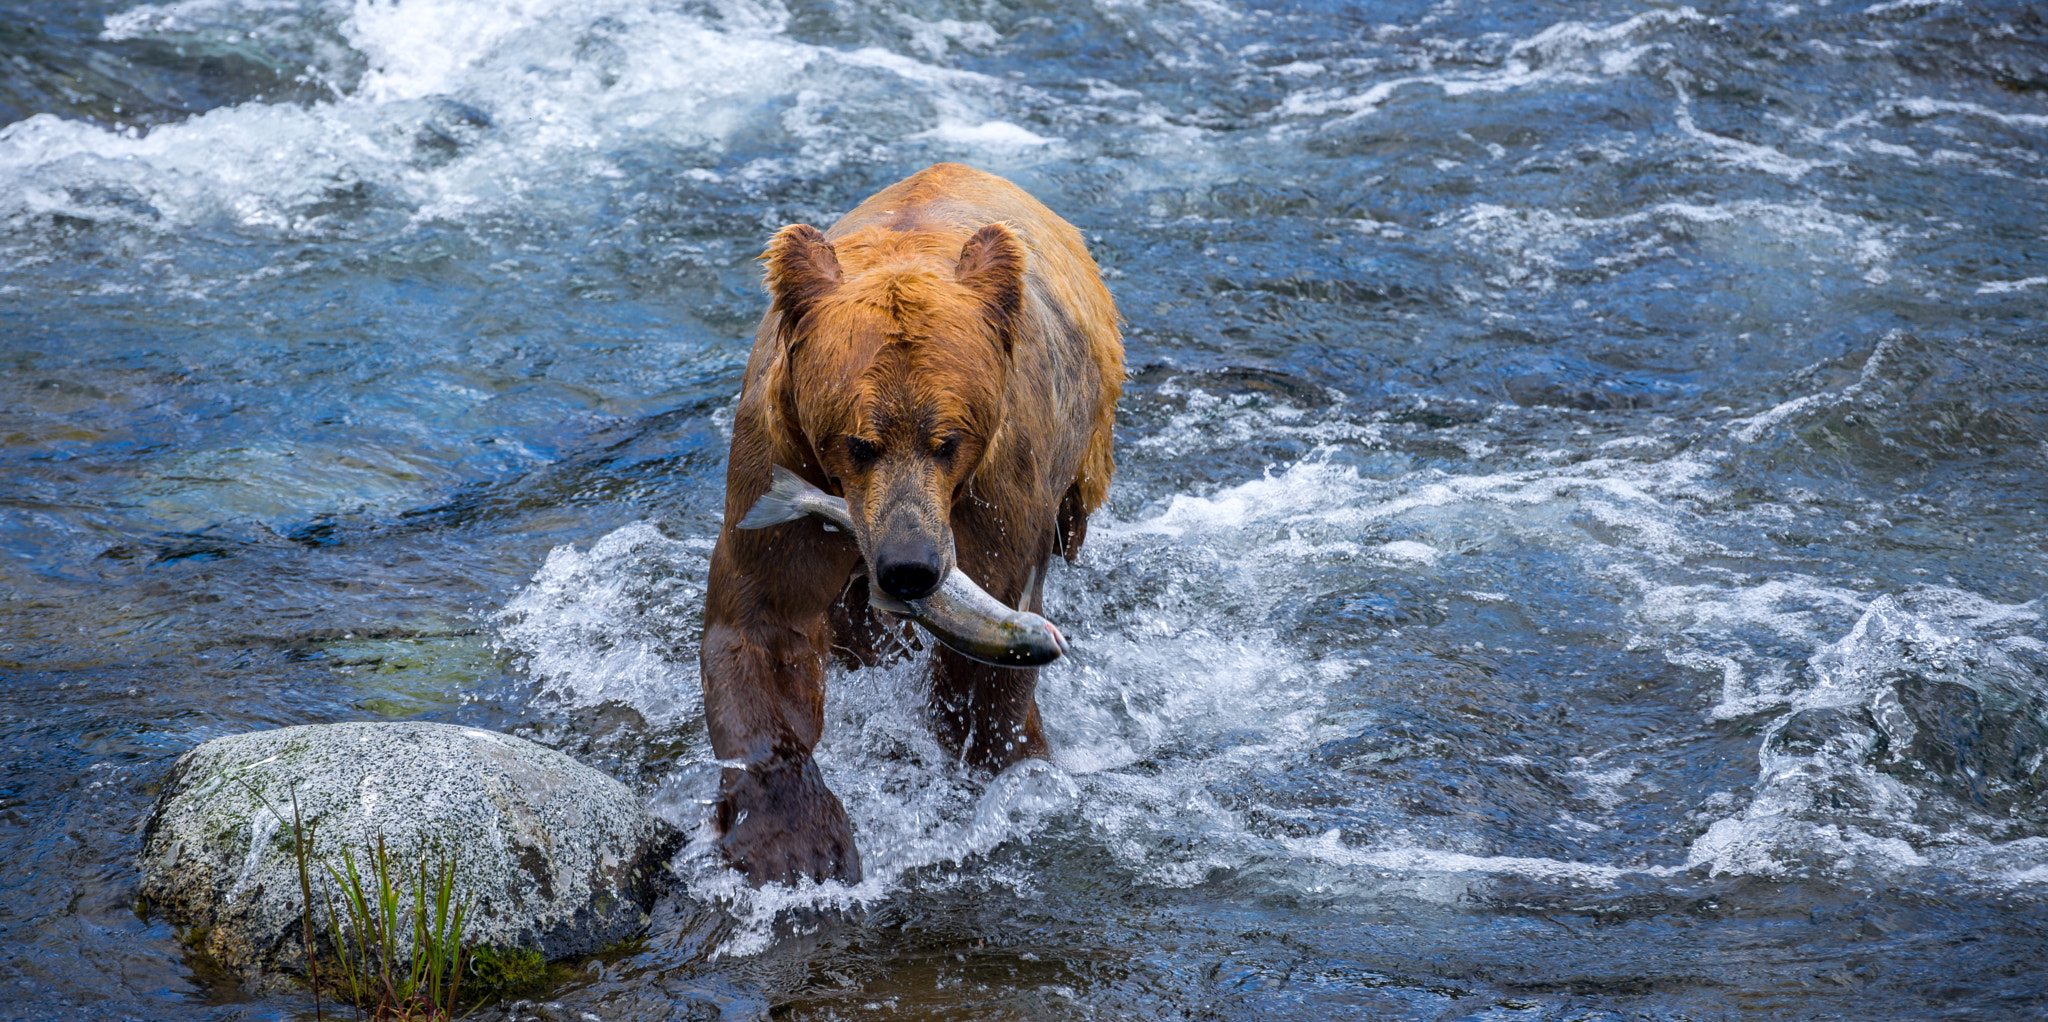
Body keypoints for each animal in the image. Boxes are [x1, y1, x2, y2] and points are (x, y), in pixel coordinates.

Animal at [699, 163, 1123, 885]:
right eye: (857, 443)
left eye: (948, 440)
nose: (909, 567)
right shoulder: (777, 458)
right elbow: (762, 625)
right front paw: (796, 843)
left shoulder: (996, 497)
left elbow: (983, 675)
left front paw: (1010, 764)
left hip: (1084, 451)